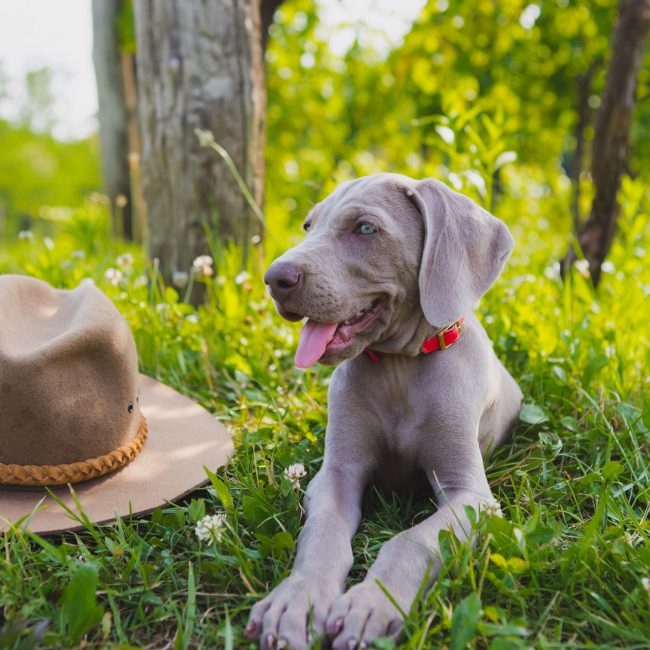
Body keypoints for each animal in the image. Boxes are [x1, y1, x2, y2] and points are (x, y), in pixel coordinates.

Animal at [243, 173, 520, 648]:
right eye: (308, 226)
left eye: (366, 229)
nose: (274, 278)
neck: (398, 369)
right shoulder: (337, 474)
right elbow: (323, 535)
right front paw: (296, 601)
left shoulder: (470, 496)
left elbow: (412, 540)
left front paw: (371, 605)